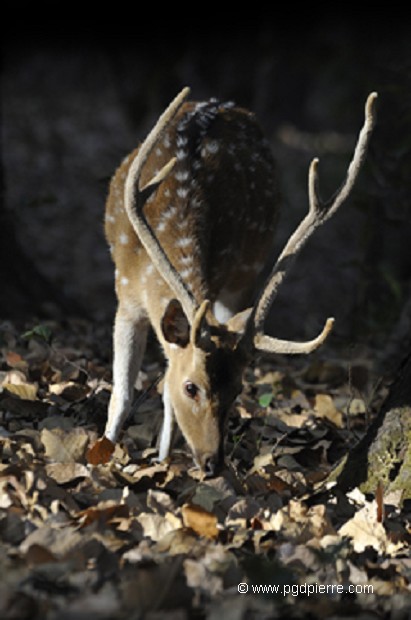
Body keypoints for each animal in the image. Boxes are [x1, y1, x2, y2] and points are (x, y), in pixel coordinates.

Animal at [92, 86, 376, 474]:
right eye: (191, 387)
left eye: (238, 389)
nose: (213, 462)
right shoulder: (126, 293)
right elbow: (122, 393)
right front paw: (105, 454)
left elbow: (162, 391)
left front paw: (162, 462)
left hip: (245, 270)